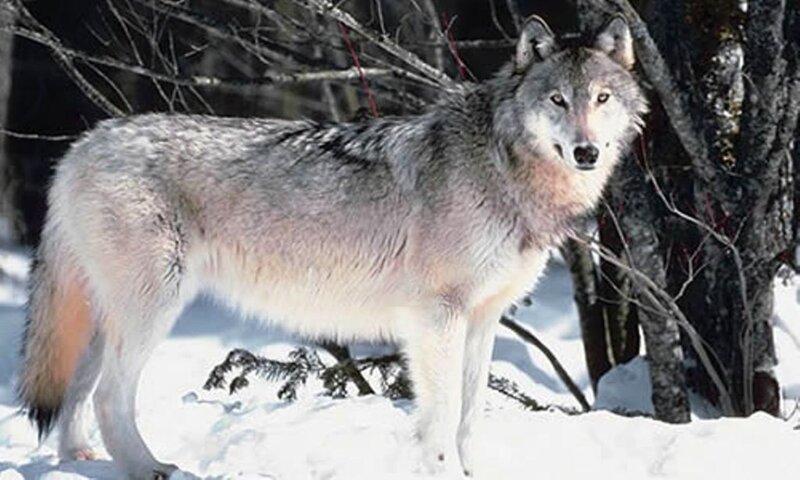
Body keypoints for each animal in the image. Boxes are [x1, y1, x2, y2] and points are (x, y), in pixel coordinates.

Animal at [17, 14, 645, 479]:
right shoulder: (436, 318)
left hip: (108, 317)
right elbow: (440, 418)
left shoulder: (484, 318)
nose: (587, 152)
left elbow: (470, 417)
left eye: (602, 98)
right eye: (557, 100)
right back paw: (150, 468)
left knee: (76, 388)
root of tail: (83, 144)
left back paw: (78, 460)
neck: (502, 166)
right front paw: (444, 470)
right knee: (108, 396)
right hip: (152, 311)